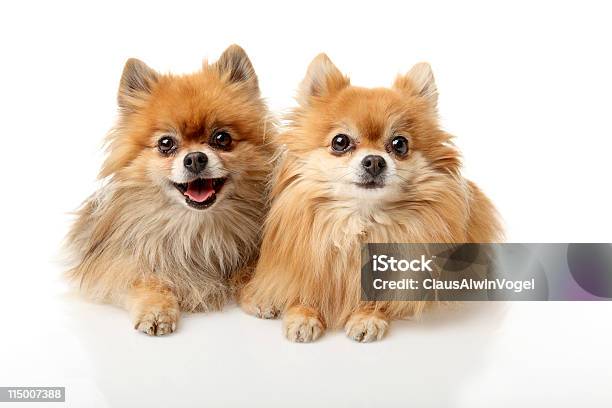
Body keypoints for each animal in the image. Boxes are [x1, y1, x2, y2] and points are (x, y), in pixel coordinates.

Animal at [65, 46, 272, 336]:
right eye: (165, 143)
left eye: (222, 138)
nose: (195, 158)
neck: (197, 229)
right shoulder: (118, 263)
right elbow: (143, 281)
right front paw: (155, 309)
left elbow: (253, 270)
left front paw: (260, 291)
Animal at [239, 53, 502, 342]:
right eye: (340, 142)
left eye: (400, 144)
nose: (374, 161)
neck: (362, 222)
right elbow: (305, 288)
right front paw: (302, 314)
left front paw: (367, 317)